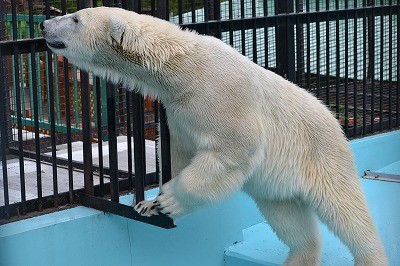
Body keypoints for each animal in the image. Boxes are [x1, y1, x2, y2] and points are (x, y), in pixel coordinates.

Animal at [43, 6, 388, 266]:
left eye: (75, 19)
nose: (45, 25)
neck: (180, 68)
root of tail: (335, 120)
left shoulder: (222, 94)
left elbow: (230, 150)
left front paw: (169, 200)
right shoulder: (178, 111)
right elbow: (178, 153)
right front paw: (147, 204)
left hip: (323, 155)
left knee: (348, 212)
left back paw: (369, 256)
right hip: (278, 188)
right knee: (289, 220)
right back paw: (298, 258)